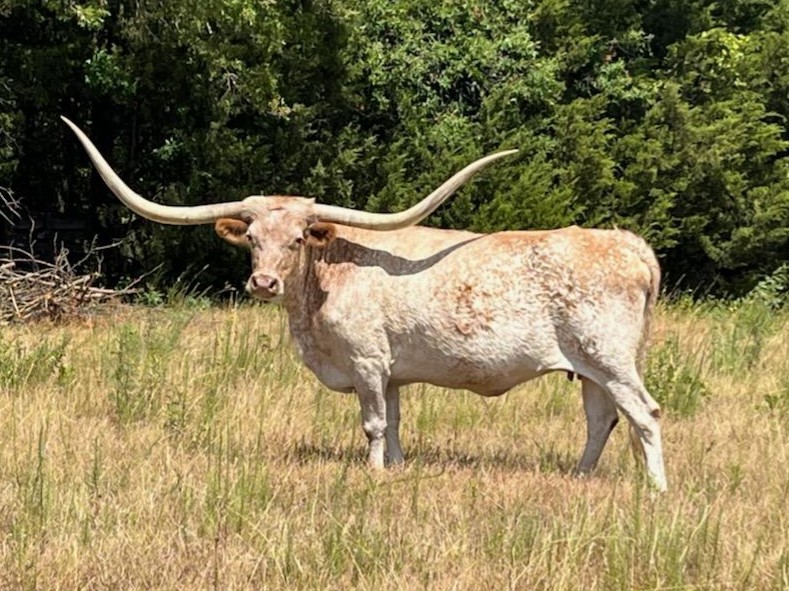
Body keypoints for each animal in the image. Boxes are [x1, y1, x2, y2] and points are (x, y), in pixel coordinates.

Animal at [62, 116, 667, 491]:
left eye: (298, 239)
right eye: (252, 237)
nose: (263, 283)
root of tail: (627, 243)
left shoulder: (368, 363)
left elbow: (374, 424)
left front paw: (373, 474)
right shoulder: (393, 372)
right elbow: (395, 423)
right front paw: (396, 469)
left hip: (611, 359)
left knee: (644, 414)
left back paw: (656, 488)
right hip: (589, 367)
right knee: (601, 419)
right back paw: (580, 477)